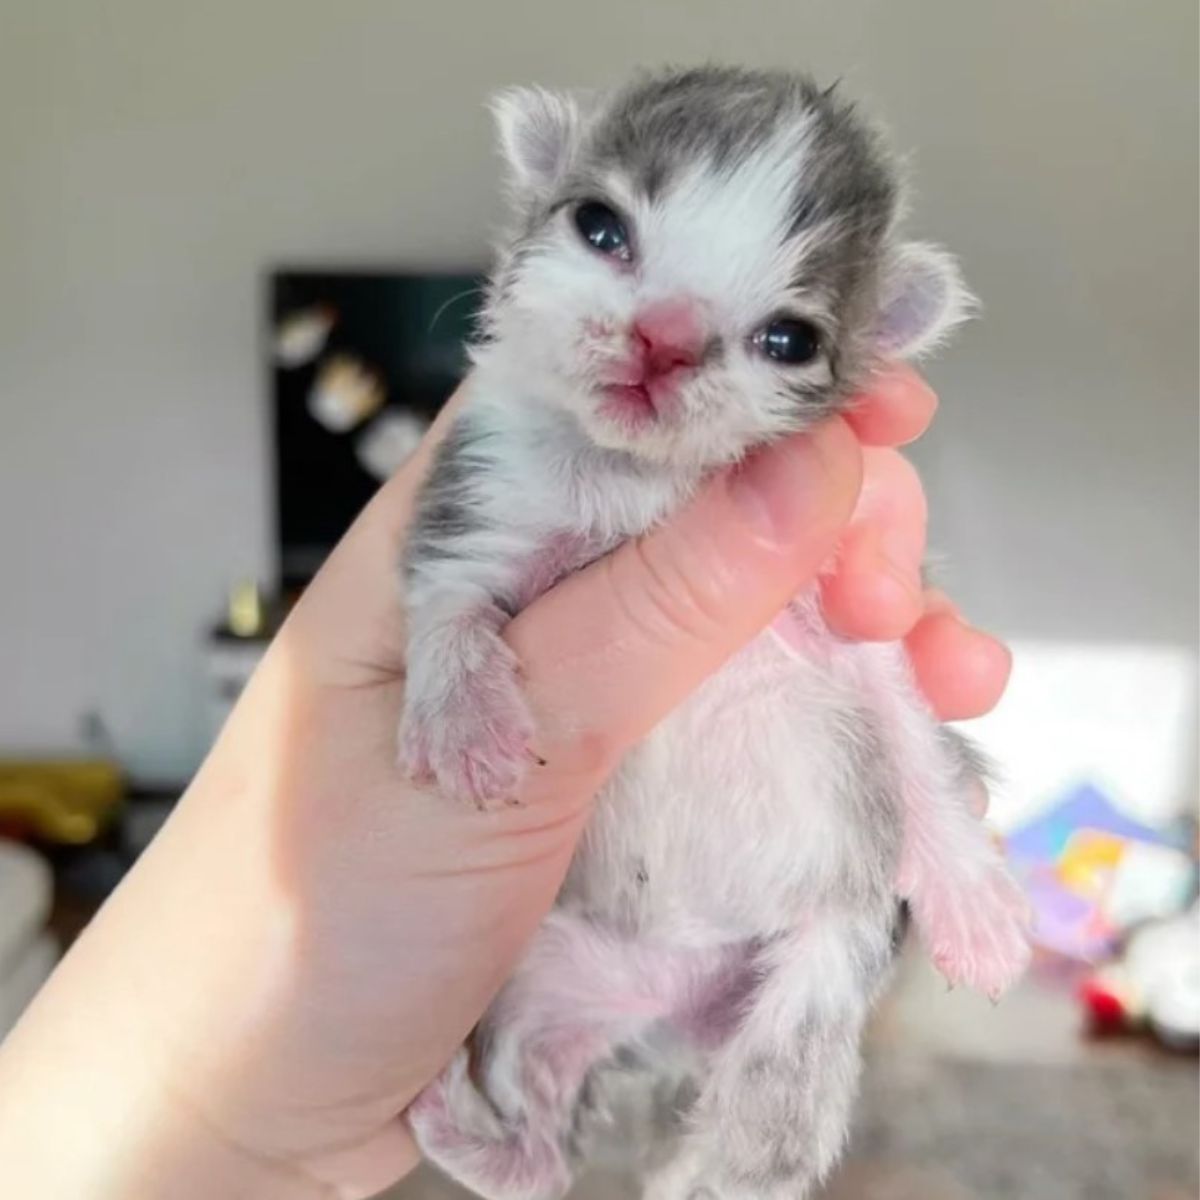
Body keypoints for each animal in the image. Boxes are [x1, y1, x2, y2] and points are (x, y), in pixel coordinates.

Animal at [403, 68, 1032, 1200]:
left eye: (790, 340)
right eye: (600, 227)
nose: (663, 337)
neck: (639, 483)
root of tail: (672, 1024)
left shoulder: (858, 600)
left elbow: (914, 736)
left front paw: (974, 896)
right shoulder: (482, 495)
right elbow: (450, 601)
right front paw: (465, 722)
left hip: (822, 961)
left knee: (770, 1107)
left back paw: (714, 1162)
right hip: (546, 970)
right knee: (547, 1154)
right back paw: (471, 1133)